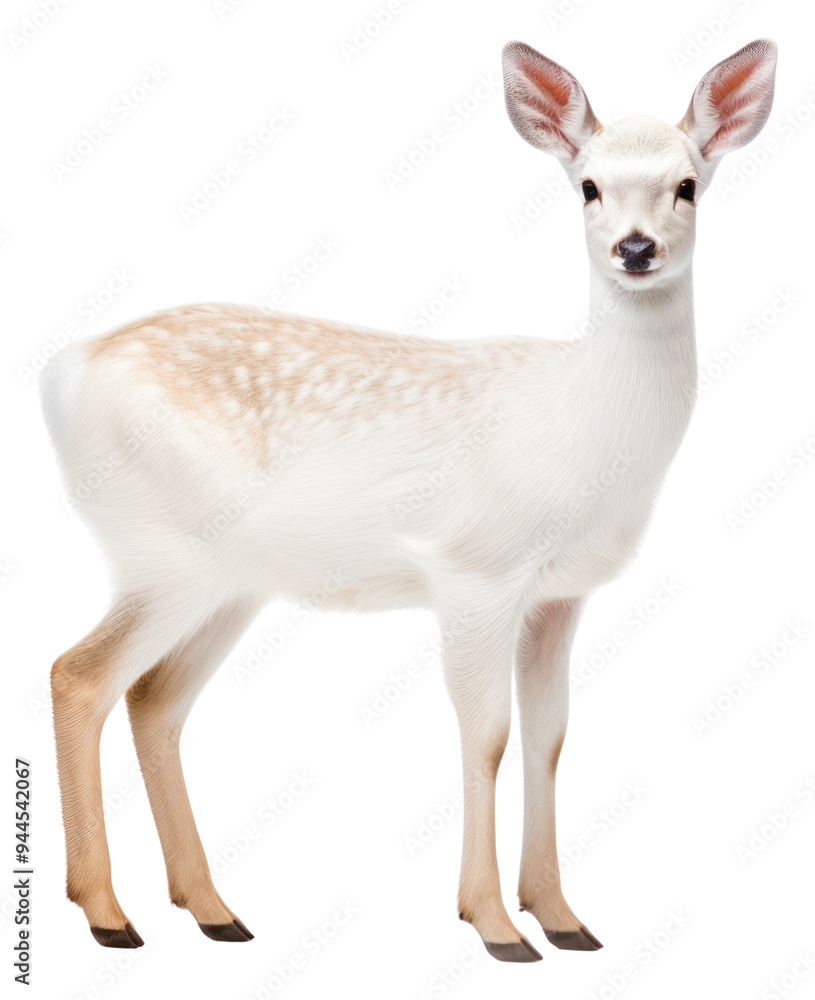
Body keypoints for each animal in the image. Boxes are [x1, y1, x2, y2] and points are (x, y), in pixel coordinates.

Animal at [41, 38, 777, 961]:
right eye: (586, 186)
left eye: (687, 184)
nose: (635, 248)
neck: (582, 430)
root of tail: (61, 374)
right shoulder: (473, 573)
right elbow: (487, 737)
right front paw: (494, 925)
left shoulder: (558, 594)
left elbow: (549, 739)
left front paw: (563, 917)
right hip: (163, 553)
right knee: (78, 677)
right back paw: (109, 913)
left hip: (228, 580)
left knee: (153, 701)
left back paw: (213, 909)